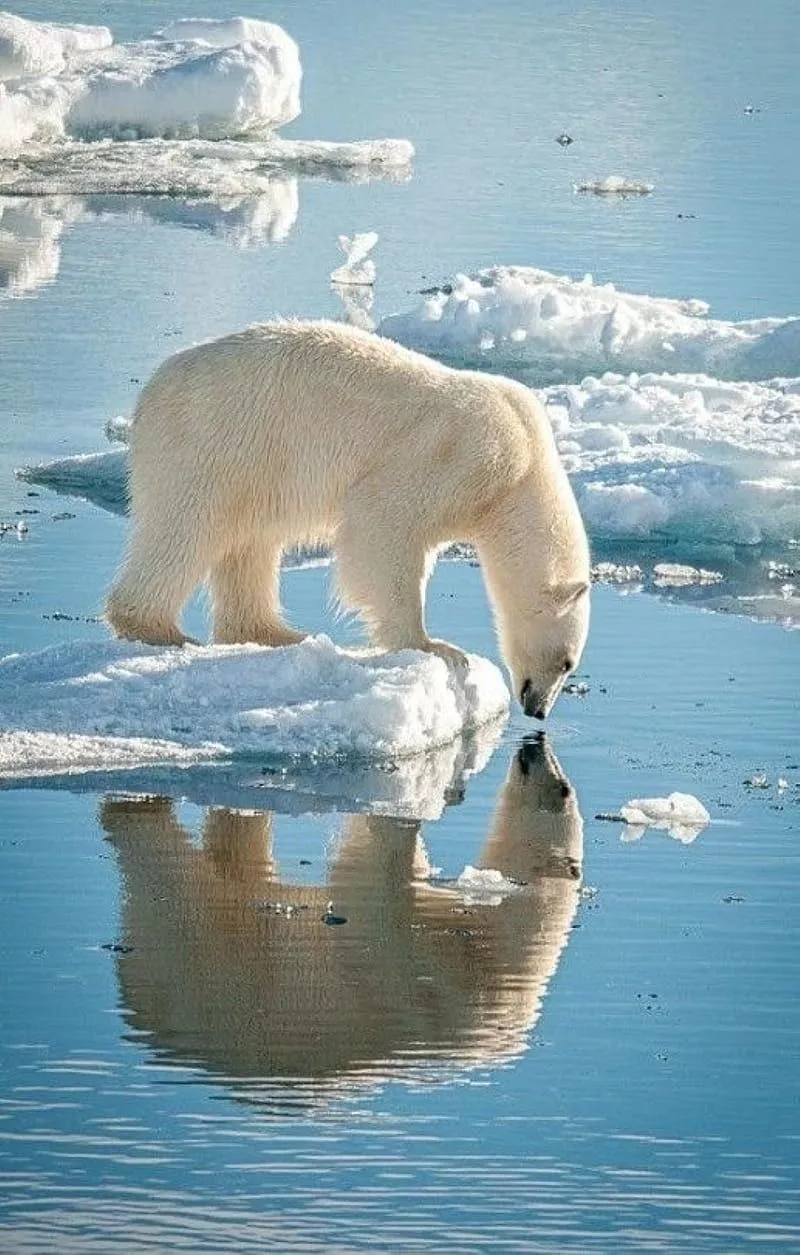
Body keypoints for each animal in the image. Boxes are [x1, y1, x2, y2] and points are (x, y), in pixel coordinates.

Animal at [106, 320, 590, 718]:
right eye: (567, 662)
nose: (538, 710)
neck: (523, 468)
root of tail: (153, 388)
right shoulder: (465, 455)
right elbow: (383, 517)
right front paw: (435, 647)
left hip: (256, 462)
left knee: (250, 541)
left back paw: (277, 632)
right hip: (216, 437)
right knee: (187, 525)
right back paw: (161, 630)